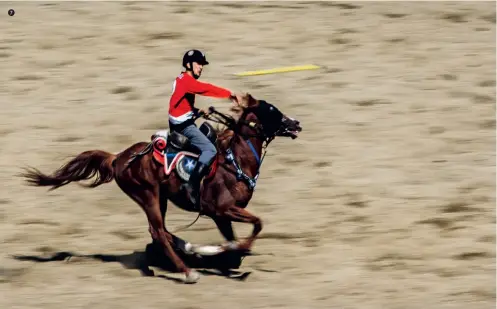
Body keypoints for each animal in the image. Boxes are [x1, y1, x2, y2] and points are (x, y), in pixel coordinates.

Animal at [20, 92, 302, 282]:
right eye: (272, 111)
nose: (296, 123)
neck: (233, 162)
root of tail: (118, 157)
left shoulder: (220, 215)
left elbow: (234, 239)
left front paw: (223, 255)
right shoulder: (222, 209)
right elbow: (256, 225)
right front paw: (224, 253)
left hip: (161, 198)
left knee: (161, 231)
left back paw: (190, 251)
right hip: (149, 196)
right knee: (157, 231)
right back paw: (188, 270)